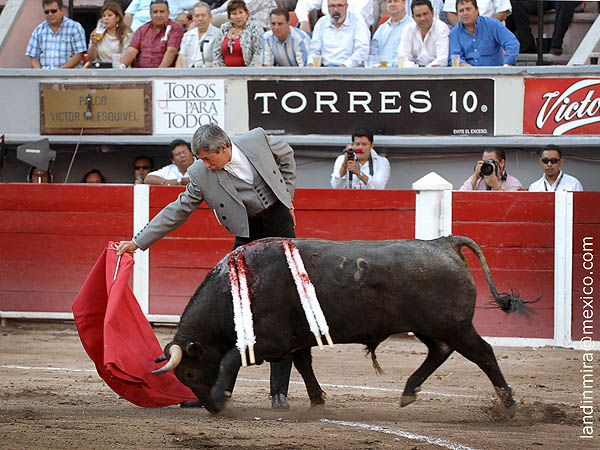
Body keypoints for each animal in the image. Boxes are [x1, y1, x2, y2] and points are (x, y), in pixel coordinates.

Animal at [154, 236, 536, 412]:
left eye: (189, 373)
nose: (209, 407)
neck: (238, 288)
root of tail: (443, 243)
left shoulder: (269, 340)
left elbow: (232, 358)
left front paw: (222, 395)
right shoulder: (296, 340)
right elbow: (304, 365)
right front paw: (317, 400)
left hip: (454, 325)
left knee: (483, 353)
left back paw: (508, 403)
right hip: (432, 328)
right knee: (439, 352)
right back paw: (409, 391)